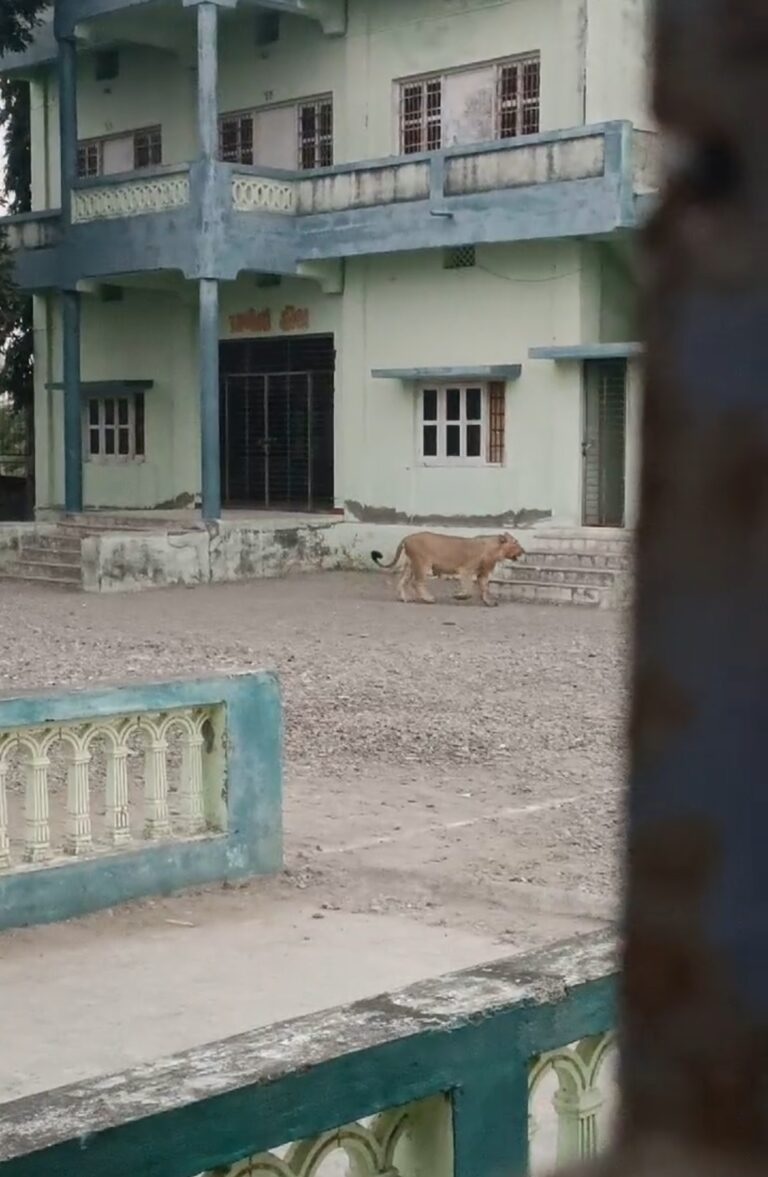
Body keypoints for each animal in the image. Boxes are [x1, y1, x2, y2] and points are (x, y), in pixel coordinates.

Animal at [369, 532, 522, 607]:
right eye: (516, 542)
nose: (523, 550)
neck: (494, 549)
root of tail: (407, 537)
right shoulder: (466, 569)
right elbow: (468, 588)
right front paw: (460, 596)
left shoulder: (483, 574)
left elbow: (485, 589)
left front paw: (489, 602)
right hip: (422, 564)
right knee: (417, 583)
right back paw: (428, 599)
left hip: (410, 565)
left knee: (402, 582)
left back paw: (405, 598)